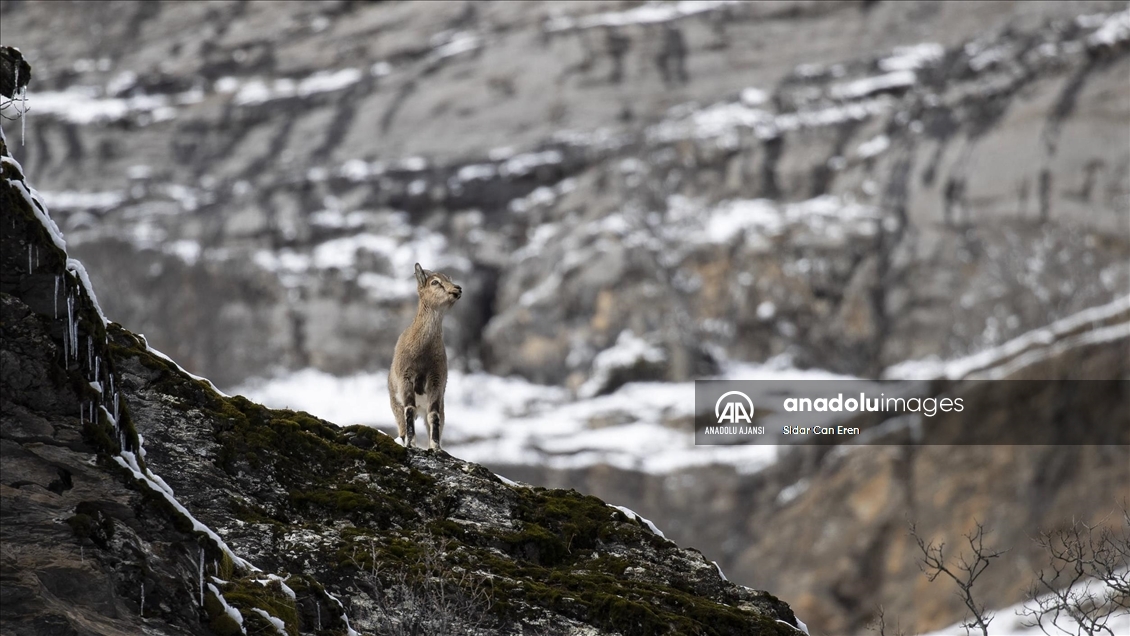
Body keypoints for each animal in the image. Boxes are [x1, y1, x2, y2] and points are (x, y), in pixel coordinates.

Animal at [388, 260, 458, 449]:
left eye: (448, 279)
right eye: (435, 282)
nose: (457, 289)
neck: (423, 352)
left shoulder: (436, 381)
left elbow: (434, 415)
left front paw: (435, 447)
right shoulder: (406, 378)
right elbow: (410, 410)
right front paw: (411, 443)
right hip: (395, 404)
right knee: (402, 423)